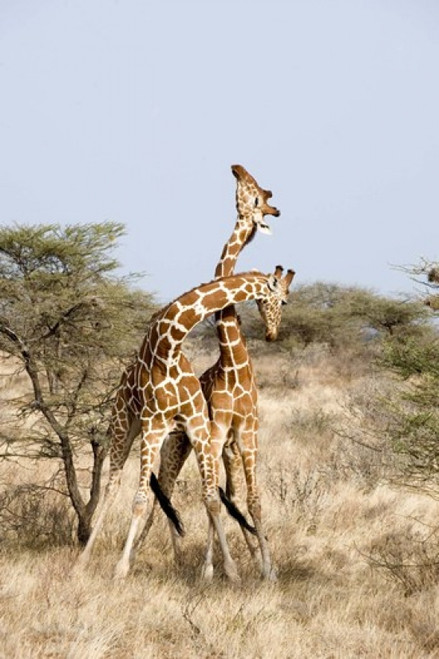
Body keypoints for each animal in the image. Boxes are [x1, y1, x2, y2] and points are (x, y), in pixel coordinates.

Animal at [77, 267, 294, 581]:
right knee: (113, 487)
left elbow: (213, 498)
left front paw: (231, 571)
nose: (272, 334)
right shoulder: (154, 424)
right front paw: (120, 569)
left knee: (167, 492)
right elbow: (139, 500)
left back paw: (178, 560)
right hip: (124, 424)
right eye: (284, 299)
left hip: (175, 440)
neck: (169, 346)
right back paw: (83, 561)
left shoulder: (198, 425)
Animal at [139, 165, 289, 580]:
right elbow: (214, 501)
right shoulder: (217, 430)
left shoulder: (246, 432)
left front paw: (265, 568)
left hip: (222, 446)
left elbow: (251, 499)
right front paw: (214, 568)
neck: (232, 363)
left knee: (227, 494)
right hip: (181, 443)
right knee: (170, 490)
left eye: (258, 195)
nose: (237, 168)